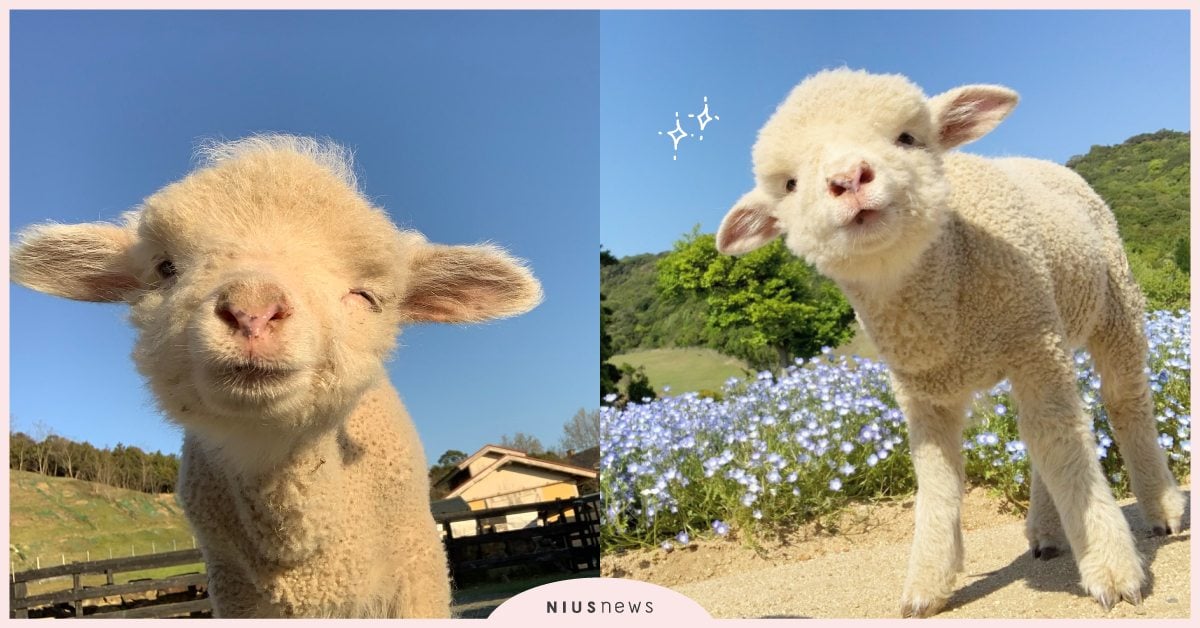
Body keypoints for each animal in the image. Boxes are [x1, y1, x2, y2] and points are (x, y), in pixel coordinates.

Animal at [715, 69, 1185, 619]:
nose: (848, 179)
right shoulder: (924, 391)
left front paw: (1110, 570)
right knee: (1039, 432)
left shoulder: (1032, 338)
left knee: (1121, 403)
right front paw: (926, 585)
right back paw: (1047, 532)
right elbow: (939, 480)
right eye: (789, 185)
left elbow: (1066, 449)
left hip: (1110, 306)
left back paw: (1161, 507)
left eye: (907, 137)